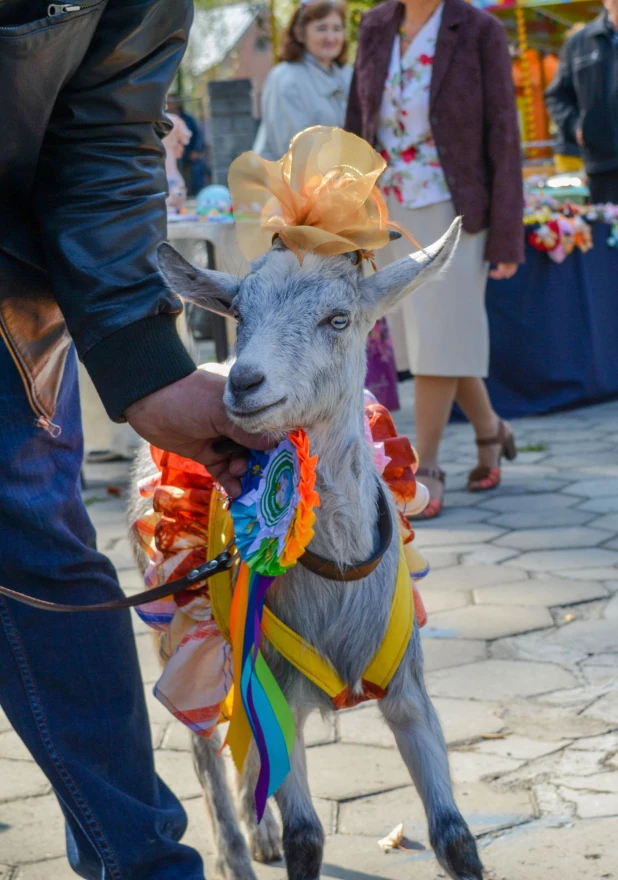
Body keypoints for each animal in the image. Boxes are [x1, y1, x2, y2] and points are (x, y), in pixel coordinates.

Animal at [127, 220, 478, 880]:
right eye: (239, 311)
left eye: (338, 319)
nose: (244, 382)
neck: (336, 575)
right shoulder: (275, 684)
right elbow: (308, 838)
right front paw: (272, 839)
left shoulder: (409, 689)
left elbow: (454, 836)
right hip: (182, 627)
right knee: (204, 743)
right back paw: (235, 854)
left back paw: (256, 831)